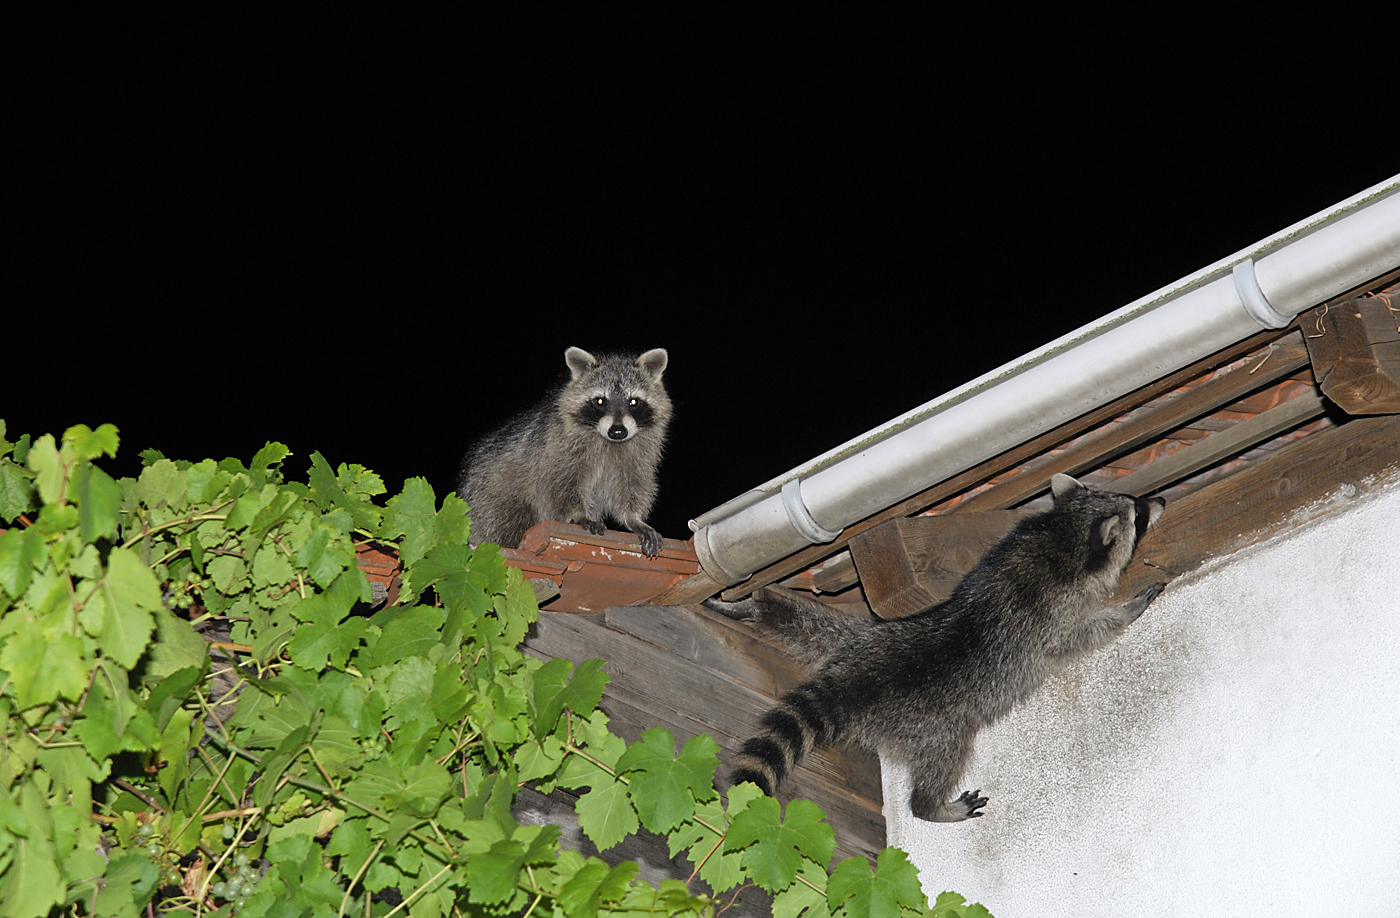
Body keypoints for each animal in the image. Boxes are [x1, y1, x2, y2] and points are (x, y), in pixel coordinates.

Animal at [456, 348, 669, 556]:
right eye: (600, 401)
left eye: (633, 402)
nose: (617, 431)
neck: (608, 440)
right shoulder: (557, 447)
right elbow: (560, 483)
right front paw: (578, 514)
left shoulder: (639, 453)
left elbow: (632, 484)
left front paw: (634, 519)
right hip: (490, 499)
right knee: (502, 524)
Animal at [705, 475, 1164, 822]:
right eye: (1138, 514)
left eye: (1133, 502)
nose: (1158, 499)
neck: (1061, 537)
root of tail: (853, 683)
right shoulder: (1051, 619)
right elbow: (1077, 638)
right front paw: (1126, 609)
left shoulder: (1010, 545)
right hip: (937, 728)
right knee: (944, 761)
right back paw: (930, 806)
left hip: (863, 637)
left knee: (812, 625)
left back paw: (760, 610)